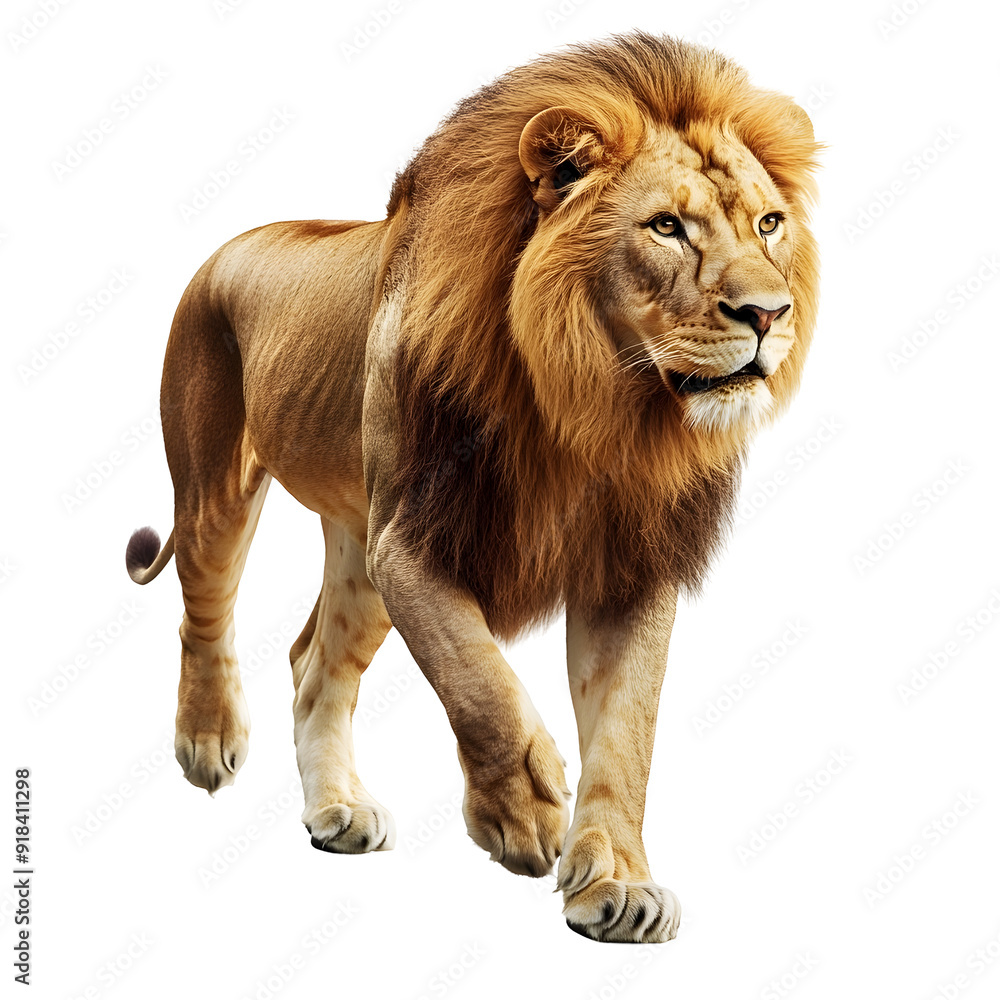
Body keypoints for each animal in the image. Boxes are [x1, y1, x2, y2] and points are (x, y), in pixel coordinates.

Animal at [125, 32, 820, 943]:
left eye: (769, 224)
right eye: (667, 227)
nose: (770, 315)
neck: (595, 410)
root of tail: (223, 250)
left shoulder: (627, 568)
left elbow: (626, 733)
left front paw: (616, 883)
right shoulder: (414, 540)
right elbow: (479, 678)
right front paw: (521, 813)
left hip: (358, 547)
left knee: (315, 662)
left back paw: (337, 810)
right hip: (219, 487)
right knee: (202, 611)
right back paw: (207, 740)